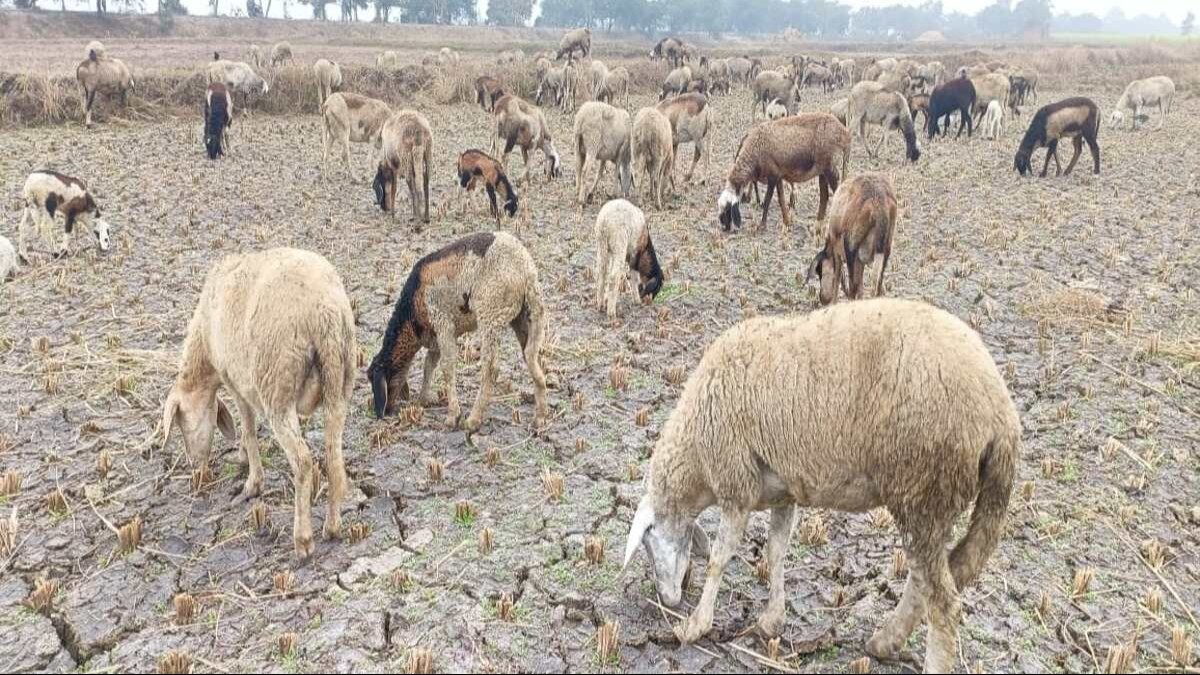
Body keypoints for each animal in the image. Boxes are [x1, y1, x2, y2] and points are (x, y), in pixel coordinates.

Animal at [161, 248, 356, 560]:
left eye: (180, 422)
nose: (195, 466)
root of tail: (324, 311)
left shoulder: (234, 381)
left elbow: (248, 429)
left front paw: (252, 482)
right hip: (340, 379)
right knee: (333, 456)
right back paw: (333, 526)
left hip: (277, 386)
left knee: (303, 462)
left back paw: (303, 540)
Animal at [367, 232, 548, 432]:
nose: (384, 412)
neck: (410, 313)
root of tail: (525, 271)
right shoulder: (435, 337)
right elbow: (429, 365)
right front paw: (423, 399)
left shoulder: (442, 323)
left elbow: (446, 367)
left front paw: (452, 416)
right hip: (526, 313)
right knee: (530, 355)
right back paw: (540, 416)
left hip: (490, 313)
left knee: (491, 368)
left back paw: (473, 420)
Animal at [621, 297, 1020, 674]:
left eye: (647, 543)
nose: (668, 600)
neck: (696, 458)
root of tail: (1002, 416)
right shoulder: (782, 490)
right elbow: (775, 551)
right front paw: (771, 621)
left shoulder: (736, 483)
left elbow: (720, 559)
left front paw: (694, 626)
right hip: (937, 499)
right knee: (931, 579)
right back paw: (884, 642)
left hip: (922, 490)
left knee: (943, 601)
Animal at [716, 113, 850, 232]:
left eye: (727, 209)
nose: (724, 229)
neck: (755, 149)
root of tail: (844, 132)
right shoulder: (778, 176)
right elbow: (781, 200)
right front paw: (787, 223)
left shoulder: (773, 176)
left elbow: (768, 200)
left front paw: (762, 225)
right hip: (822, 171)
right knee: (824, 197)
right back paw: (816, 226)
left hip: (830, 167)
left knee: (837, 192)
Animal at [805, 172, 897, 304]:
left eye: (820, 271)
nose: (823, 299)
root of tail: (879, 199)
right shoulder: (860, 260)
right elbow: (860, 285)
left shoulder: (837, 251)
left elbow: (838, 276)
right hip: (885, 249)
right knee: (878, 283)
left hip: (850, 247)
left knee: (853, 285)